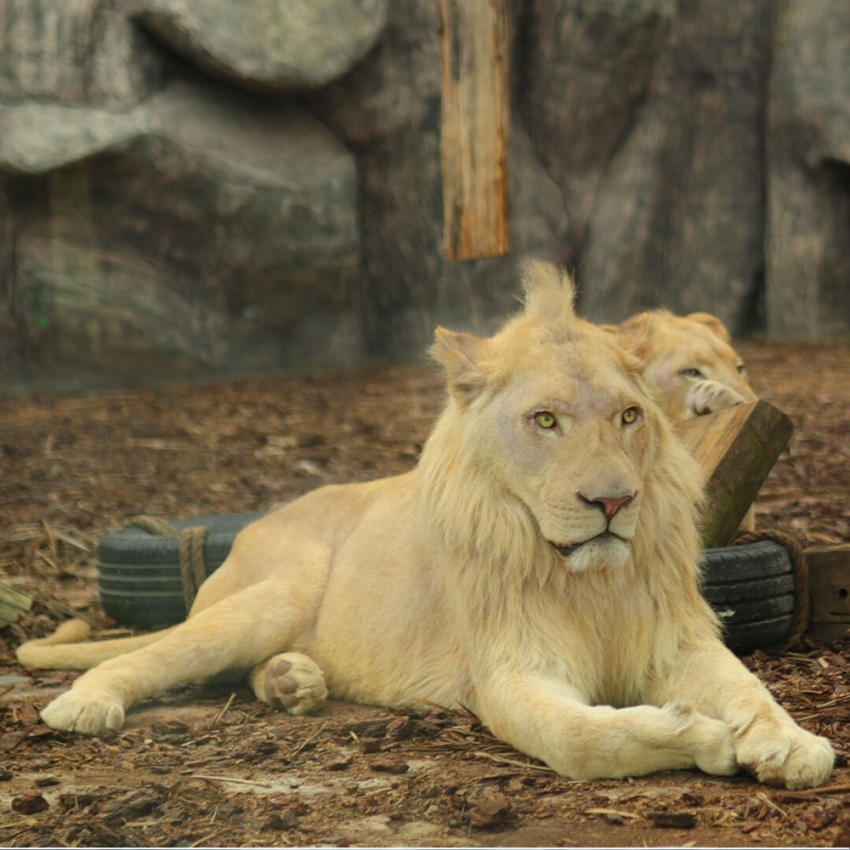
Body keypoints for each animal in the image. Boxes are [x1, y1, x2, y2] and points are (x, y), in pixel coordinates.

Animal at [16, 262, 832, 784]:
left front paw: (792, 744)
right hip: (272, 593)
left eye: (629, 416)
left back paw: (290, 680)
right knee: (153, 654)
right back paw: (86, 704)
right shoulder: (509, 670)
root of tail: (253, 523)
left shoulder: (675, 638)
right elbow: (581, 740)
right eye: (545, 420)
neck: (587, 581)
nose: (613, 503)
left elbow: (752, 690)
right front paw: (701, 735)